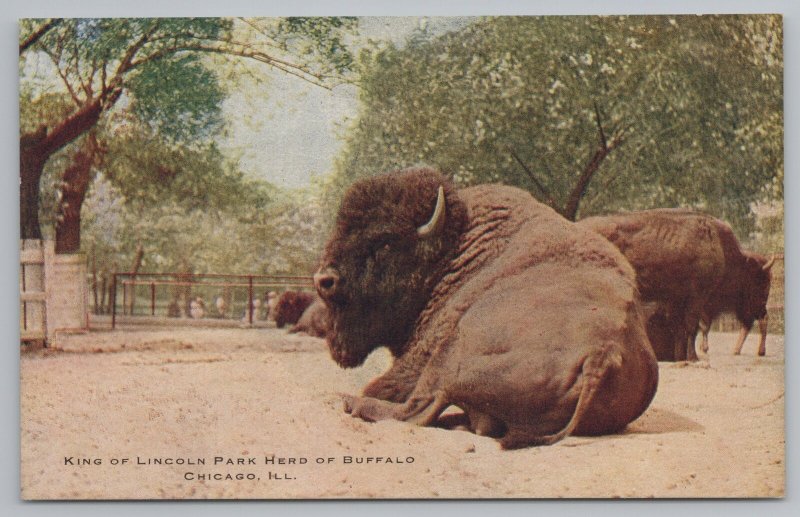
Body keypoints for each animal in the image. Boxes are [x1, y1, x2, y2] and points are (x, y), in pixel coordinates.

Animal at [312, 166, 656, 448]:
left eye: (384, 242)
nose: (324, 280)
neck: (452, 252)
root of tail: (603, 354)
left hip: (451, 353)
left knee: (418, 407)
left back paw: (350, 403)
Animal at [576, 209, 776, 358]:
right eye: (761, 283)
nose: (762, 311)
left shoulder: (675, 299)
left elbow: (680, 328)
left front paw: (680, 357)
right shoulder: (697, 297)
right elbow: (692, 326)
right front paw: (693, 357)